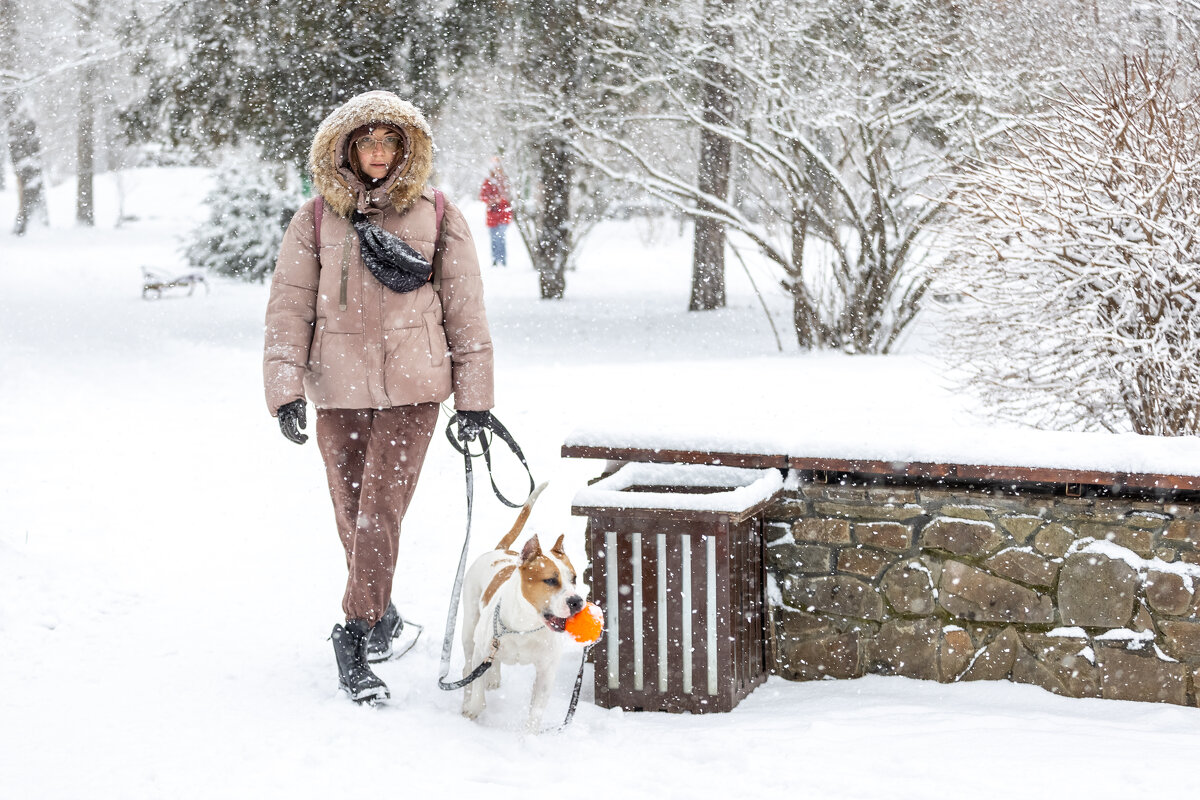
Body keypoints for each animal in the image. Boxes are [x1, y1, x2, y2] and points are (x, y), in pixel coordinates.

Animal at [458, 482, 585, 734]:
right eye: (550, 580)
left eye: (574, 578)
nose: (576, 601)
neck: (525, 625)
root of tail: (501, 549)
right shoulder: (481, 651)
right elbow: (477, 690)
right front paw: (473, 708)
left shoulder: (547, 670)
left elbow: (536, 711)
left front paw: (529, 737)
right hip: (469, 627)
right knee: (468, 669)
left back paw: (493, 677)